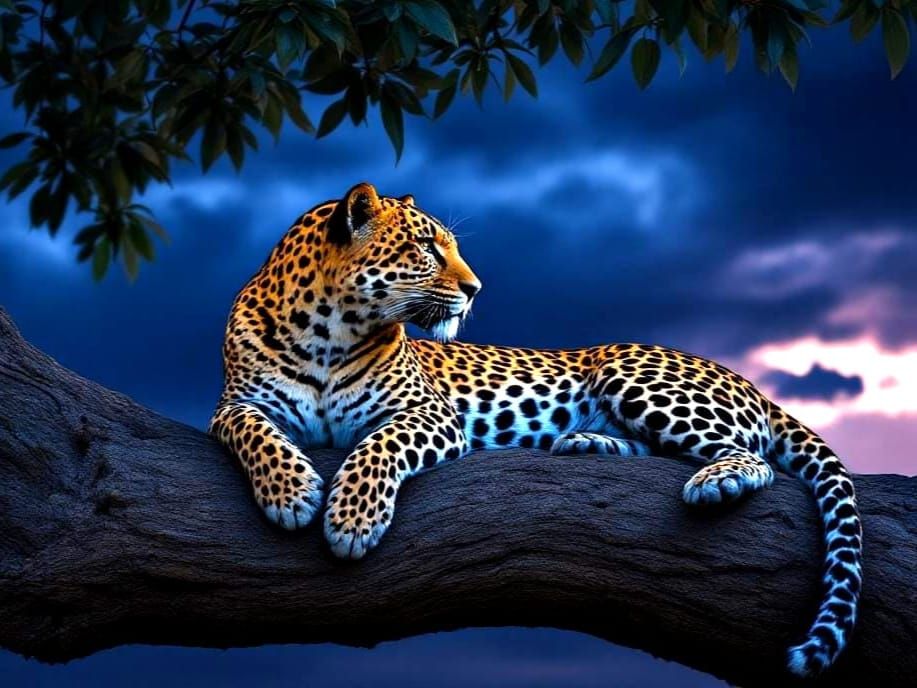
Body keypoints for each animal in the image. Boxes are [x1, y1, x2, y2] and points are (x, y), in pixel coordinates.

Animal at [210, 182, 862, 678]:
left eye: (449, 247)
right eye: (425, 247)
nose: (474, 289)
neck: (327, 329)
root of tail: (747, 380)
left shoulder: (426, 413)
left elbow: (378, 448)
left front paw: (352, 519)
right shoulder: (235, 404)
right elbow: (253, 432)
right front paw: (291, 491)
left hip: (634, 375)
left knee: (755, 458)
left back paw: (715, 480)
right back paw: (586, 442)